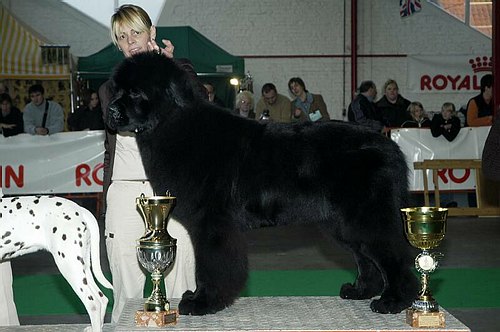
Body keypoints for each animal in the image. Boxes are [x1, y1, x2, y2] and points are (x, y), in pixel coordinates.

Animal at [107, 52, 420, 316]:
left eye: (135, 92)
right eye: (116, 90)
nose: (110, 111)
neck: (174, 123)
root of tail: (391, 147)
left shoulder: (212, 222)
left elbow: (210, 266)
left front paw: (202, 302)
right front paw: (199, 298)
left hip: (367, 216)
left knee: (393, 254)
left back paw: (394, 300)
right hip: (343, 223)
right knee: (365, 256)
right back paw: (360, 290)